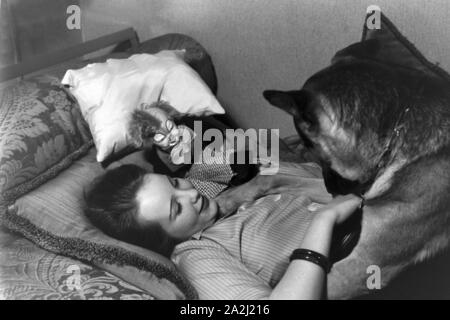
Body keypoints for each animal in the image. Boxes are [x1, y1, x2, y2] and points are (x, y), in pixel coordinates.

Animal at [216, 13, 450, 298]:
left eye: (311, 144)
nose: (333, 189)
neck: (395, 136)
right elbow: (270, 179)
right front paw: (227, 200)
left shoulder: (358, 269)